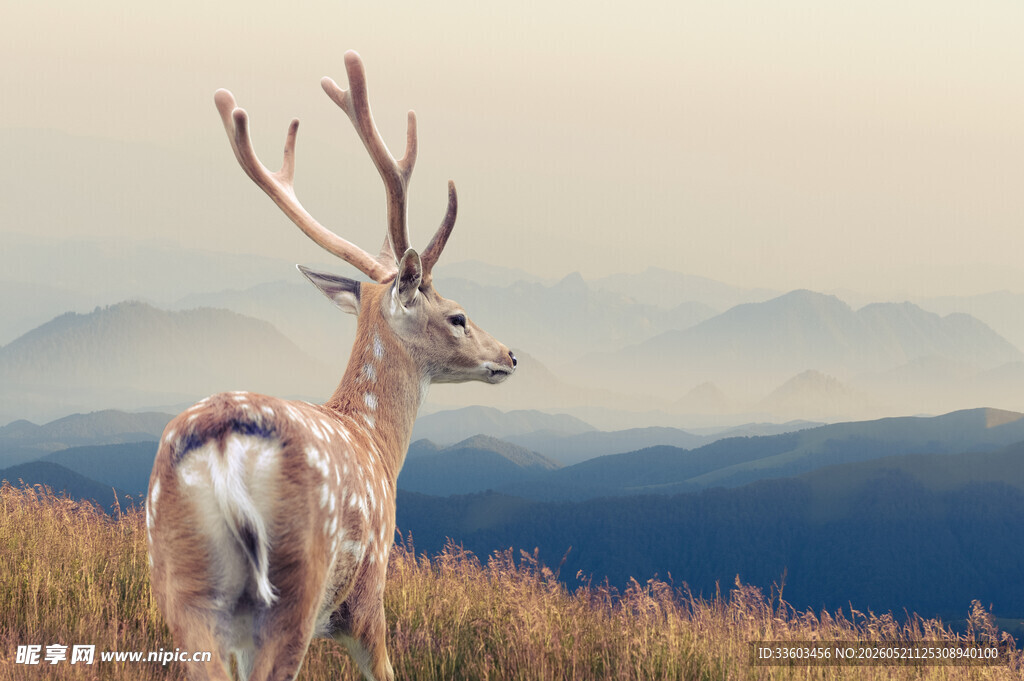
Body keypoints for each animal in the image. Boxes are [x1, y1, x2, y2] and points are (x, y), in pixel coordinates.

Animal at [146, 50, 516, 681]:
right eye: (459, 316)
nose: (509, 355)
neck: (377, 444)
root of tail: (221, 450)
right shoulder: (368, 599)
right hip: (295, 590)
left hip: (179, 587)